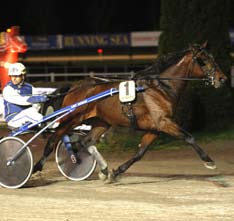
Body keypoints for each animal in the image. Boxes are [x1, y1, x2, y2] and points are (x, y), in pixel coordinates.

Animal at [33, 42, 227, 181]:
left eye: (212, 58)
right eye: (203, 60)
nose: (222, 78)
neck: (160, 88)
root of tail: (75, 87)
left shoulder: (155, 129)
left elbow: (140, 153)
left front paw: (116, 172)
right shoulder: (164, 122)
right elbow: (189, 137)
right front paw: (209, 161)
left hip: (102, 122)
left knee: (86, 141)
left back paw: (103, 169)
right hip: (72, 117)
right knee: (54, 138)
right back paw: (36, 168)